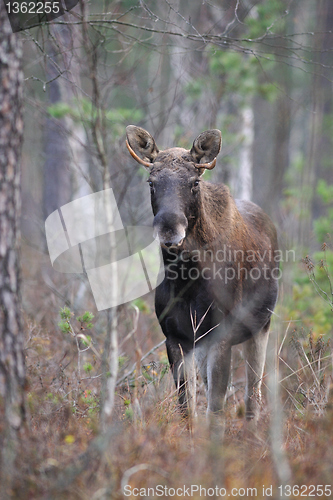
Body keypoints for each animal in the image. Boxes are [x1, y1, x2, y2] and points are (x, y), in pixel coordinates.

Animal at [124, 126, 278, 422]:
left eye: (194, 182)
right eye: (151, 183)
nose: (169, 228)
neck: (186, 281)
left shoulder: (221, 335)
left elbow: (215, 410)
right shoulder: (176, 337)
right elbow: (187, 409)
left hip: (261, 326)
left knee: (253, 396)